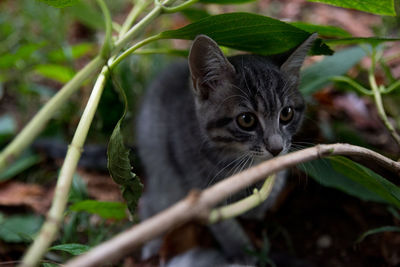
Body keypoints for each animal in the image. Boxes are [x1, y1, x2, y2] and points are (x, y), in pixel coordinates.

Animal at [136, 33, 318, 266]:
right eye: (246, 120)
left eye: (286, 113)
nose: (275, 148)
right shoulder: (201, 188)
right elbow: (224, 223)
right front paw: (242, 251)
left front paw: (264, 198)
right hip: (165, 174)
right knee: (152, 202)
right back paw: (152, 243)